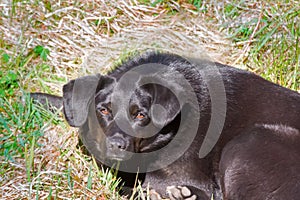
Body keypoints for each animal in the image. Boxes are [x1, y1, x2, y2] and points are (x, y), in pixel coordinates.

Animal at [31, 52, 298, 200]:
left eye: (140, 115)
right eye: (104, 110)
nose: (117, 145)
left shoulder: (181, 177)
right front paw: (38, 99)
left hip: (248, 142)